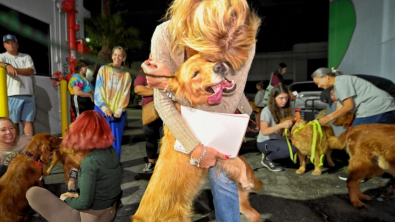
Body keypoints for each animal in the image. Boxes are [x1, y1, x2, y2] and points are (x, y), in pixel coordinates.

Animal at [131, 54, 264, 222]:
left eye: (208, 59)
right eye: (195, 73)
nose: (219, 66)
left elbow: (240, 161)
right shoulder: (215, 151)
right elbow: (239, 163)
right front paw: (245, 179)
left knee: (255, 215)